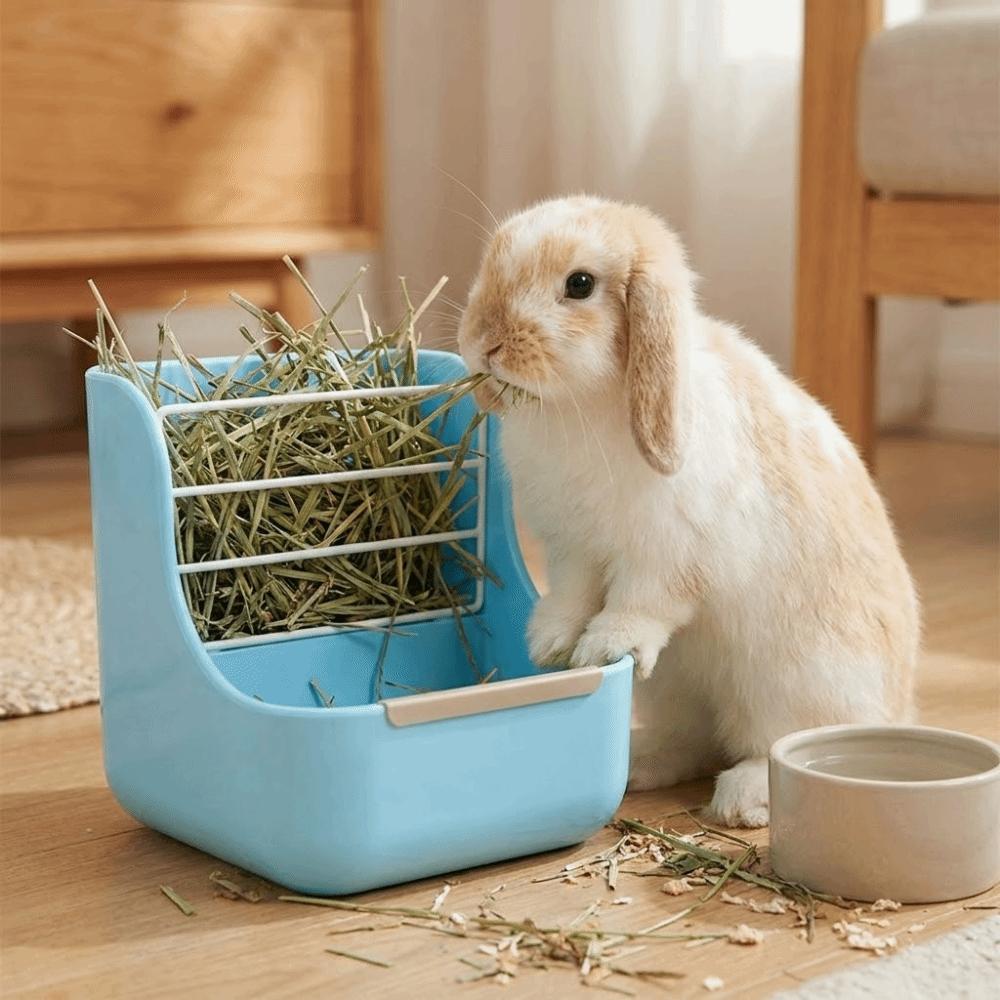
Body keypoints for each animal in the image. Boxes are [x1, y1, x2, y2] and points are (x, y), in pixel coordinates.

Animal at [456, 195, 919, 828]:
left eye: (580, 285)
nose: (486, 343)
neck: (582, 404)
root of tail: (896, 711)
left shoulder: (668, 554)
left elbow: (642, 603)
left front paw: (604, 648)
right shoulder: (574, 548)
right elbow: (573, 594)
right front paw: (549, 644)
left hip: (794, 684)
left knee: (780, 747)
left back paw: (742, 800)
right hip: (677, 689)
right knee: (697, 740)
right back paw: (641, 762)